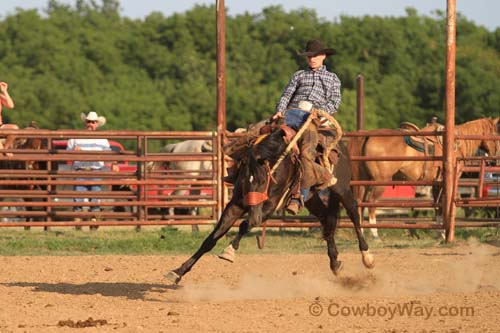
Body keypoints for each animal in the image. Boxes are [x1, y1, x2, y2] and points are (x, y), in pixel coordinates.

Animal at [348, 116, 500, 239]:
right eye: (496, 133)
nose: (495, 158)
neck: (456, 145)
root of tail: (368, 136)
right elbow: (444, 207)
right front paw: (444, 234)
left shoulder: (437, 183)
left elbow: (438, 207)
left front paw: (441, 233)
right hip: (380, 181)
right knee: (370, 203)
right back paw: (375, 235)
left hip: (363, 181)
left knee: (359, 203)